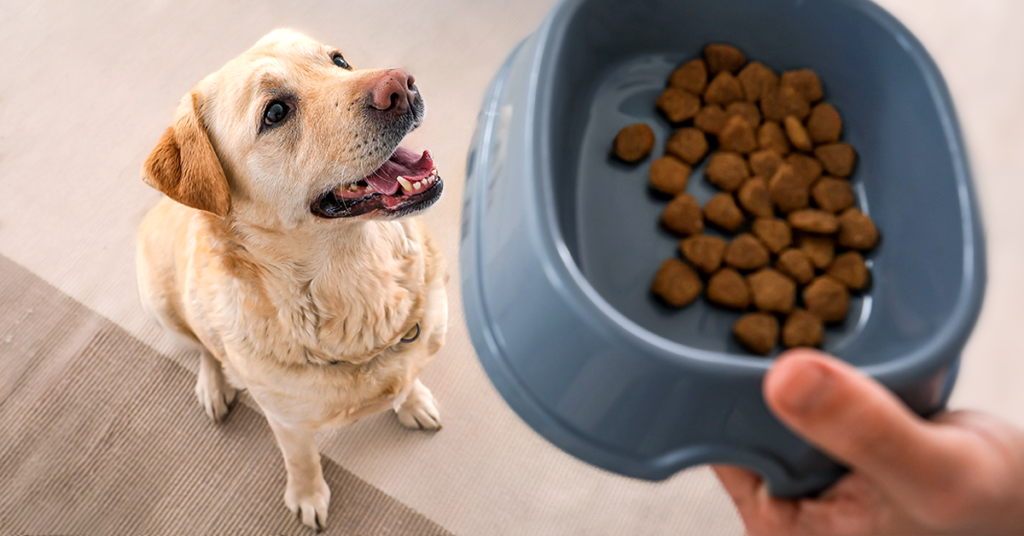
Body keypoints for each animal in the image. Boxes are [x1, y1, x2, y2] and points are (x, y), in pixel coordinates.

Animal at [135, 28, 444, 528]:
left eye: (339, 61)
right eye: (275, 112)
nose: (401, 84)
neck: (358, 278)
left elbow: (409, 375)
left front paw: (413, 401)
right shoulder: (287, 422)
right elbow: (302, 459)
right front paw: (308, 494)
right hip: (160, 304)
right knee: (203, 348)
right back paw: (214, 386)